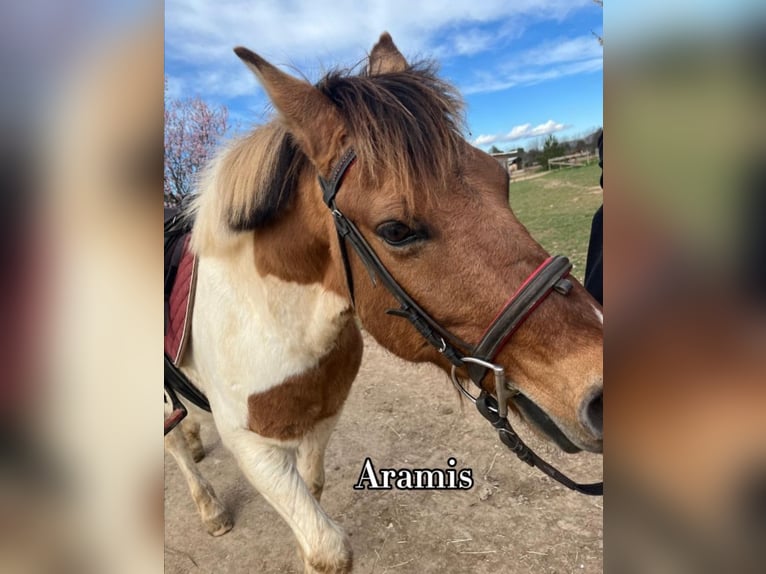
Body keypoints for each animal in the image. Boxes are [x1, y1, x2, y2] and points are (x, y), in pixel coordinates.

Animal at [165, 32, 604, 574]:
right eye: (395, 230)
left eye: (501, 180)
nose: (599, 390)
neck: (268, 323)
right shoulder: (252, 447)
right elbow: (326, 548)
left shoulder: (323, 418)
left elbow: (313, 489)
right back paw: (209, 506)